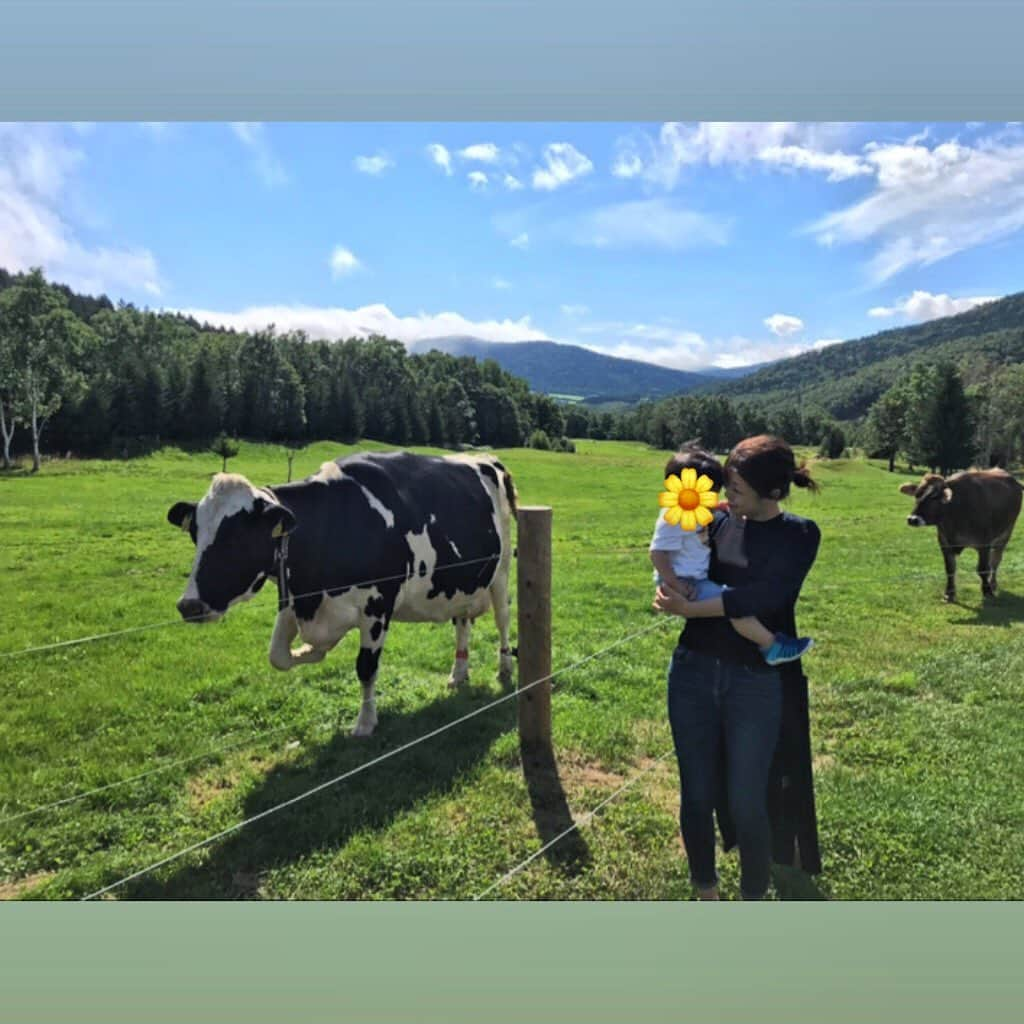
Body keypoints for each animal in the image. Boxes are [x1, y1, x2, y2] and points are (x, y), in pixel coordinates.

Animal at [172, 452, 520, 733]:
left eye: (237, 536)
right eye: (195, 533)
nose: (189, 605)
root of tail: (487, 459)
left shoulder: (377, 606)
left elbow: (366, 667)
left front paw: (365, 722)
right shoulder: (295, 599)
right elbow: (279, 656)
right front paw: (312, 651)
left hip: (501, 571)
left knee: (503, 620)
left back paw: (504, 668)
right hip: (462, 585)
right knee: (462, 624)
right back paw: (458, 673)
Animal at [901, 468, 1019, 602]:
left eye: (934, 497)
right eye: (917, 495)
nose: (912, 519)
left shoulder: (984, 544)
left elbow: (983, 569)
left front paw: (987, 591)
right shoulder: (944, 543)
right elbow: (950, 569)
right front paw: (949, 593)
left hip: (1006, 533)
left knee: (996, 560)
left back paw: (993, 584)